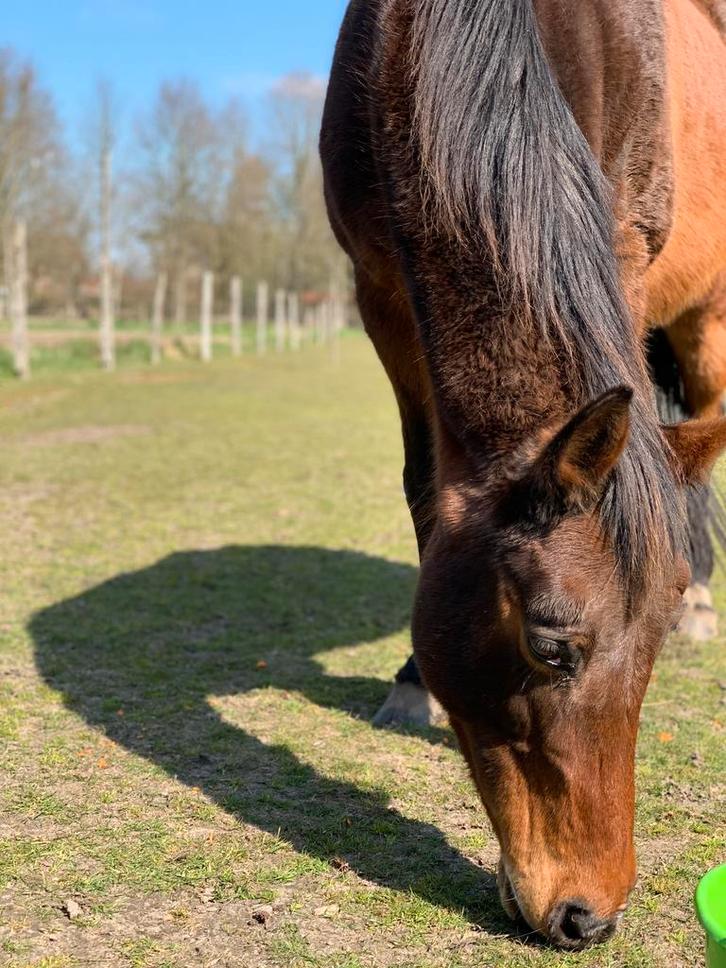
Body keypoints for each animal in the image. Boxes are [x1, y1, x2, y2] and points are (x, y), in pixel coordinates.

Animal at [320, 0, 726, 949]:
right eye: (549, 645)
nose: (590, 916)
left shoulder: (622, 248)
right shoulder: (381, 293)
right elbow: (423, 488)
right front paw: (410, 684)